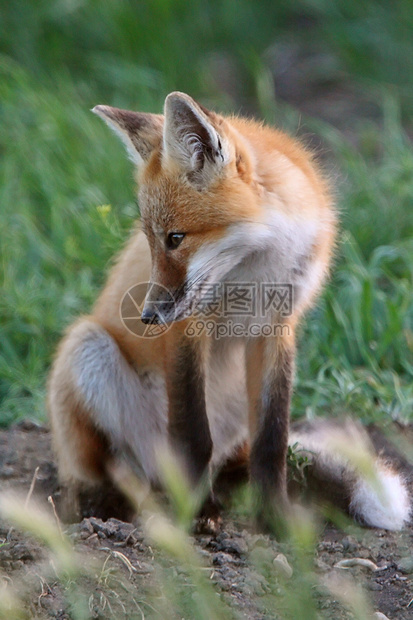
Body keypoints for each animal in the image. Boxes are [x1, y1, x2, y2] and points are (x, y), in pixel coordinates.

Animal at [47, 92, 408, 532]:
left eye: (175, 238)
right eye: (150, 239)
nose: (149, 318)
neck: (255, 274)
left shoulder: (277, 328)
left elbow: (272, 440)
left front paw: (275, 519)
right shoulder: (188, 326)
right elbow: (192, 435)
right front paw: (196, 515)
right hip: (87, 349)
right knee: (106, 471)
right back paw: (105, 506)